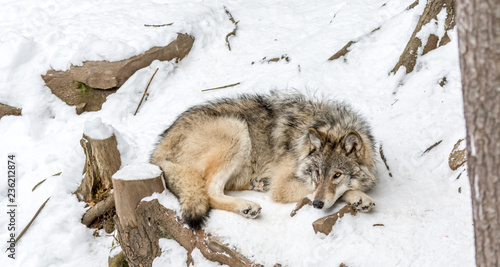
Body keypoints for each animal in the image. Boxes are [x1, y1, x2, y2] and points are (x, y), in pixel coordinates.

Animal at [150, 92, 376, 230]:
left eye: (337, 175)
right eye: (317, 173)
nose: (318, 205)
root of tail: (157, 152)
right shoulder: (282, 186)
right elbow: (334, 192)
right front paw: (359, 196)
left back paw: (257, 185)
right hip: (236, 129)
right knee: (210, 192)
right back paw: (246, 206)